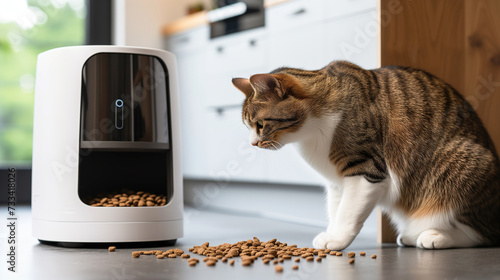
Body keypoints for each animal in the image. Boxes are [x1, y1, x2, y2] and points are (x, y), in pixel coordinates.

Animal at [233, 60, 500, 249]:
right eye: (247, 127)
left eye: (259, 125)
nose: (253, 143)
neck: (311, 133)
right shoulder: (336, 181)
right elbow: (336, 209)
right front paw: (331, 233)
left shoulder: (366, 169)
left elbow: (347, 212)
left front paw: (336, 239)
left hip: (464, 165)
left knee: (482, 234)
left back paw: (436, 237)